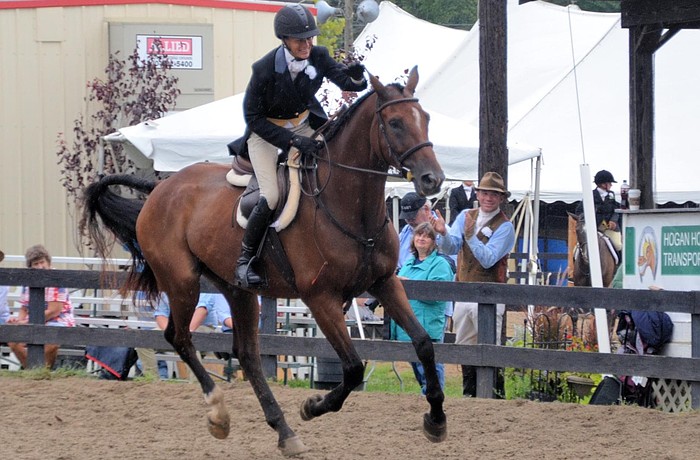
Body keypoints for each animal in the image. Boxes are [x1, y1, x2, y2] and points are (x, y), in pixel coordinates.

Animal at [82, 67, 447, 456]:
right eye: (394, 123)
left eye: (425, 118)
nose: (433, 179)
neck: (349, 207)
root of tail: (159, 190)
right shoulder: (321, 298)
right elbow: (351, 368)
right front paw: (312, 406)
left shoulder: (384, 283)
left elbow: (424, 345)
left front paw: (436, 420)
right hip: (182, 281)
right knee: (179, 337)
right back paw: (219, 413)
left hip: (236, 289)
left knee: (247, 355)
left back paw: (284, 431)